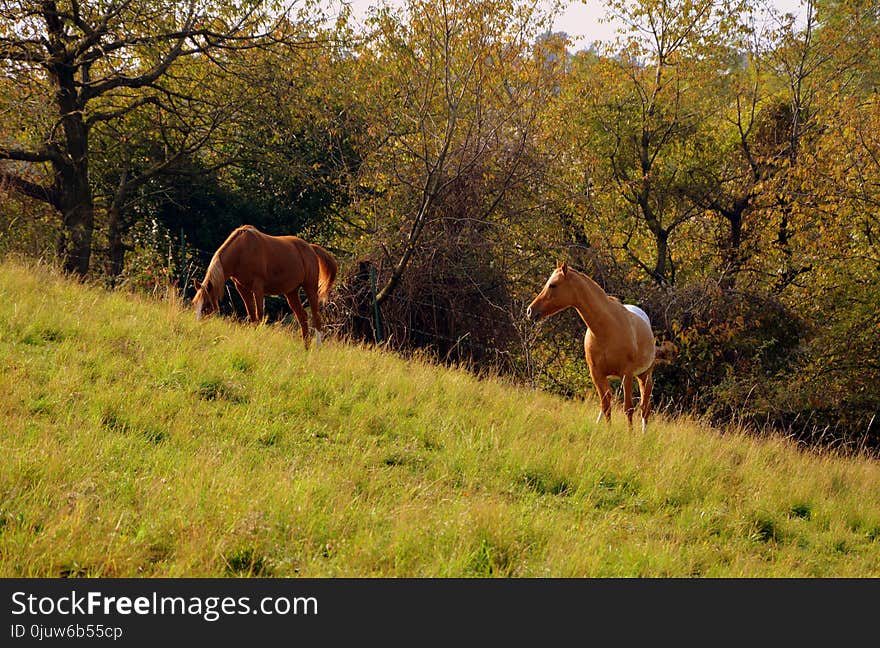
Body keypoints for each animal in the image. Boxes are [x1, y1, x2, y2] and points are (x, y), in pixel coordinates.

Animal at [192, 224, 336, 350]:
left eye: (207, 305)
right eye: (195, 304)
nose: (197, 329)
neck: (242, 251)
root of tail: (311, 248)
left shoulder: (258, 288)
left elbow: (259, 315)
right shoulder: (241, 288)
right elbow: (252, 316)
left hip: (310, 288)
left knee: (316, 318)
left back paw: (317, 349)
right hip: (291, 292)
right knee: (303, 317)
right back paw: (306, 348)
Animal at [524, 260, 656, 432]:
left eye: (553, 285)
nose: (530, 311)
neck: (607, 329)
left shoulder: (626, 374)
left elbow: (628, 408)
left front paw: (630, 434)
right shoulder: (596, 373)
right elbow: (605, 405)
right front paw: (608, 431)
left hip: (644, 375)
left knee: (644, 407)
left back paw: (643, 433)